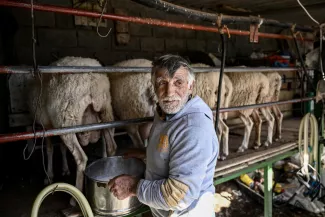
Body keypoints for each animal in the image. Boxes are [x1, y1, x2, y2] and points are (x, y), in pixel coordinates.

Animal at [26, 56, 116, 205]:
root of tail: (93, 81)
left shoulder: (47, 127)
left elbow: (49, 149)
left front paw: (49, 175)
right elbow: (61, 148)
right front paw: (65, 169)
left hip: (67, 119)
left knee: (81, 158)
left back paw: (75, 198)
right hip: (105, 110)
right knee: (111, 147)